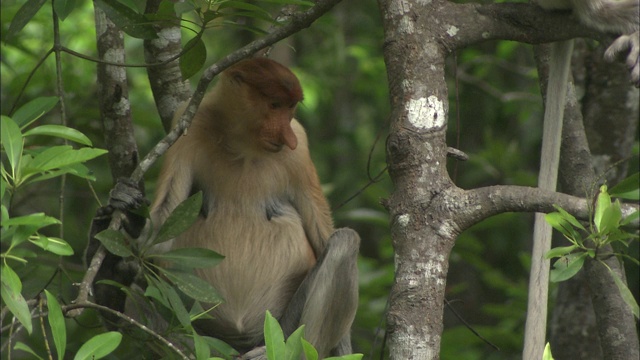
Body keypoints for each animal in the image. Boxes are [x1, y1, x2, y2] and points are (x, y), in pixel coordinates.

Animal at [149, 57, 360, 356]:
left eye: (290, 108)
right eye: (274, 105)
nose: (287, 138)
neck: (242, 144)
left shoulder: (300, 147)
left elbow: (322, 238)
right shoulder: (187, 125)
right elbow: (162, 226)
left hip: (281, 330)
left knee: (345, 241)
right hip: (199, 331)